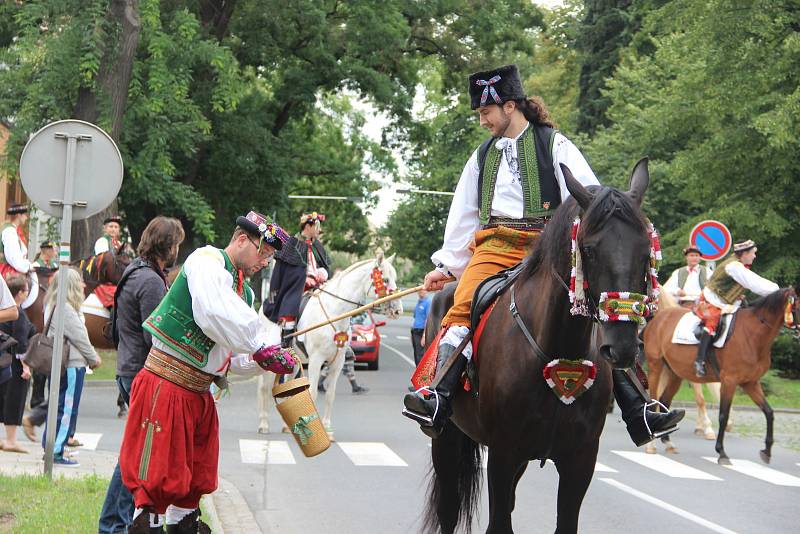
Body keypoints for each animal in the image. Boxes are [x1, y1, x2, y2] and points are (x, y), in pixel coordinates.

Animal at [258, 254, 404, 440]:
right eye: (385, 279)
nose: (398, 310)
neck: (335, 312)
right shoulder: (316, 360)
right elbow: (313, 392)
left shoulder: (338, 362)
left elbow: (330, 394)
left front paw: (327, 428)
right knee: (264, 389)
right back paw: (263, 424)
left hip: (293, 362)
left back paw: (286, 427)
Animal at [644, 286, 800, 466]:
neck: (752, 334)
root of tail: (658, 318)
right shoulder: (729, 381)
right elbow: (723, 416)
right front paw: (721, 452)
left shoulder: (751, 383)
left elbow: (768, 412)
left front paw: (767, 451)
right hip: (655, 366)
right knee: (653, 401)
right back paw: (651, 445)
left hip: (675, 373)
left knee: (664, 400)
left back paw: (668, 441)